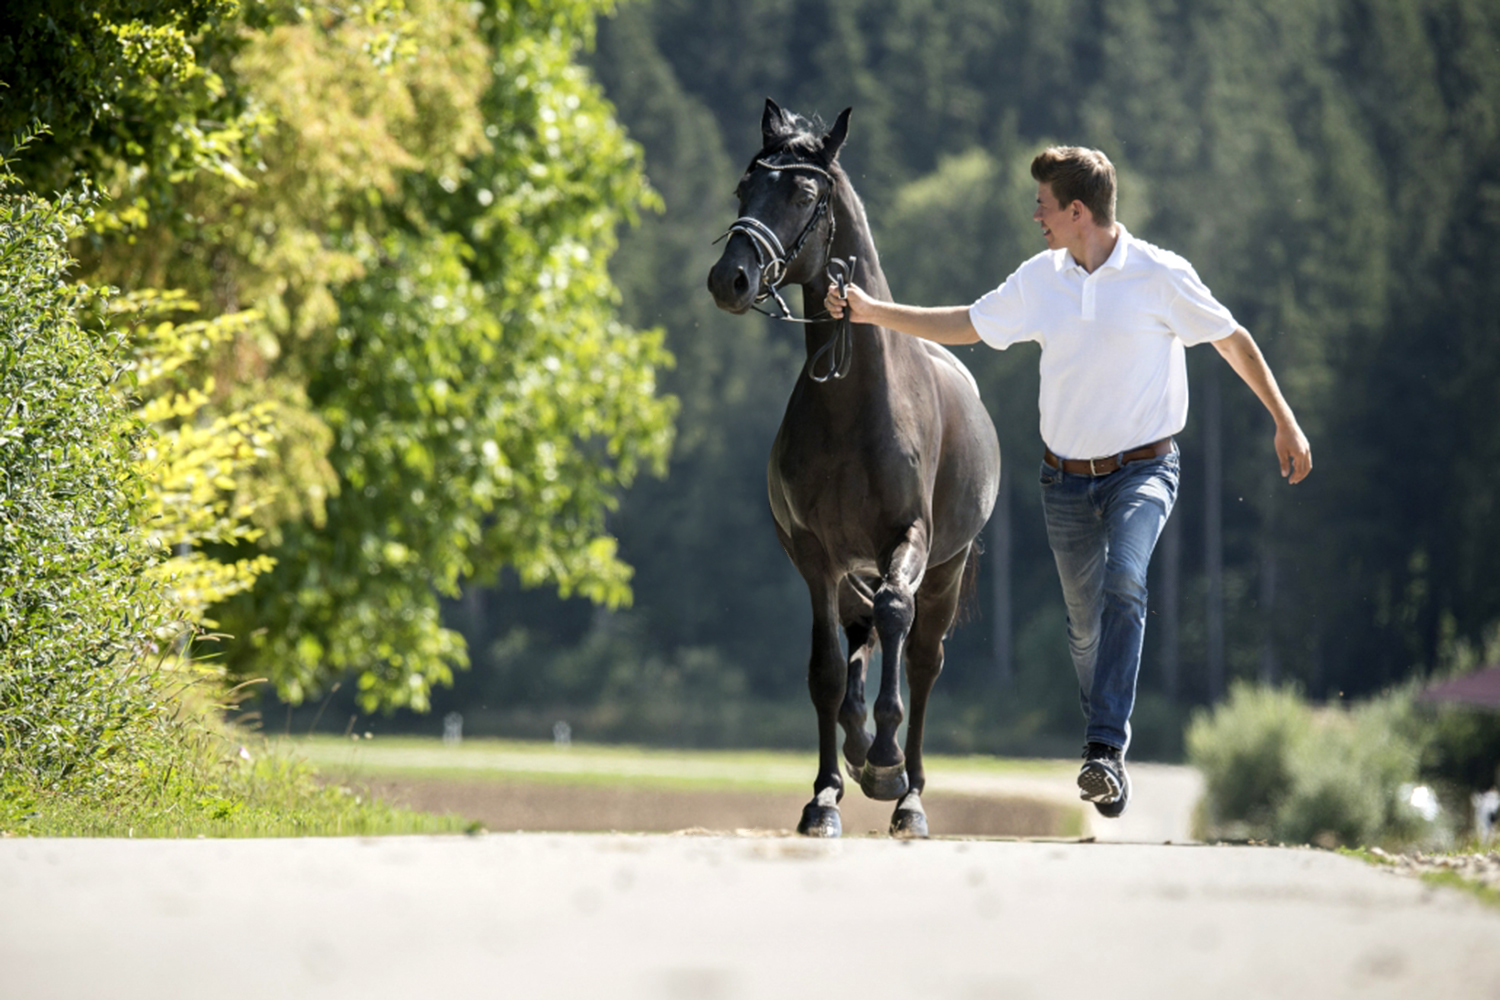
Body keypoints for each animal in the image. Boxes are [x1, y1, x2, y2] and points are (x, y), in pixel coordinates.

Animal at [707, 100, 1001, 837]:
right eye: (743, 188)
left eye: (801, 194)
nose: (730, 279)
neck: (854, 403)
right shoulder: (819, 557)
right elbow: (826, 670)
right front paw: (824, 796)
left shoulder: (910, 540)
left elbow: (897, 621)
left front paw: (888, 764)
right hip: (850, 574)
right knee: (859, 644)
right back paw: (858, 753)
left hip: (945, 570)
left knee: (920, 657)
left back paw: (907, 790)